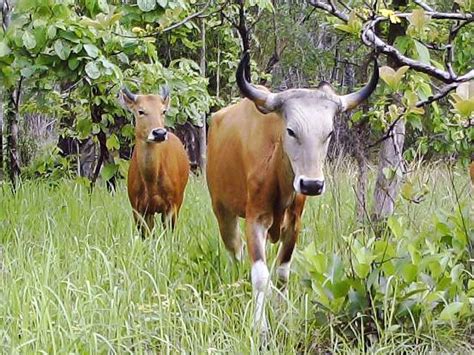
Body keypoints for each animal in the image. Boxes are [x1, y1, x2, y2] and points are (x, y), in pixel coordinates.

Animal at [121, 87, 190, 236]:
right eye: (140, 111)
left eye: (163, 111)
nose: (159, 133)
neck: (151, 182)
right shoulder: (136, 207)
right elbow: (147, 236)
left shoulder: (172, 203)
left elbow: (168, 234)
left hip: (180, 197)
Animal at [206, 52, 378, 330]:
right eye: (291, 130)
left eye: (329, 132)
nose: (311, 185)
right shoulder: (255, 220)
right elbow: (260, 275)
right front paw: (260, 326)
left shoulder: (294, 223)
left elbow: (282, 272)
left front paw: (282, 314)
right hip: (223, 212)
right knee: (235, 250)